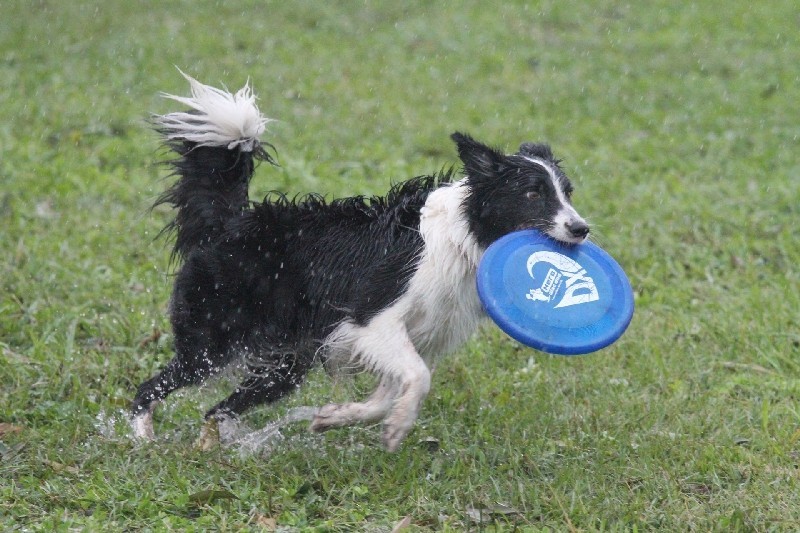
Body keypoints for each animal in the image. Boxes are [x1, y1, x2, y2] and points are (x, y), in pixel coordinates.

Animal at [131, 74, 592, 448]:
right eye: (533, 193)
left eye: (568, 192)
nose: (581, 229)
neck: (464, 236)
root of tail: (229, 224)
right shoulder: (373, 320)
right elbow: (418, 378)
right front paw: (397, 426)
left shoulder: (401, 336)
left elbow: (388, 394)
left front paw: (335, 418)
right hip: (211, 344)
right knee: (148, 388)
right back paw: (143, 441)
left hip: (284, 365)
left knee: (218, 409)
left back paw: (216, 445)